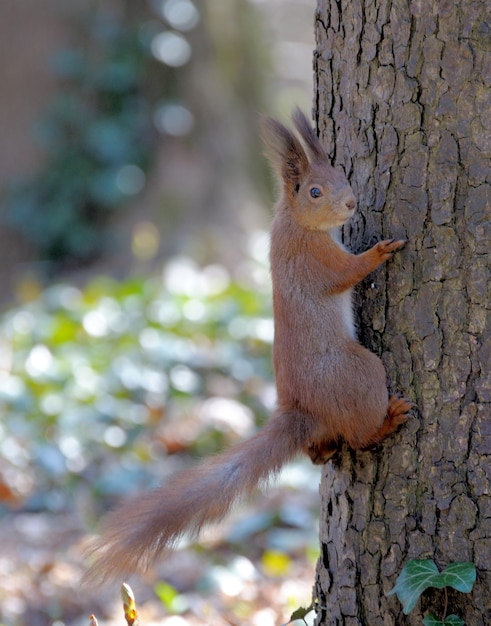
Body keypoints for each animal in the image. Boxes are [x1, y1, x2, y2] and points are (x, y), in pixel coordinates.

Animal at [86, 108, 414, 580]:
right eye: (315, 191)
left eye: (341, 174)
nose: (351, 204)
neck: (294, 222)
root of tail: (303, 410)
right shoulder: (311, 259)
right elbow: (346, 274)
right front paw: (380, 252)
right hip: (358, 371)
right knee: (361, 436)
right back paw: (388, 420)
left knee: (323, 450)